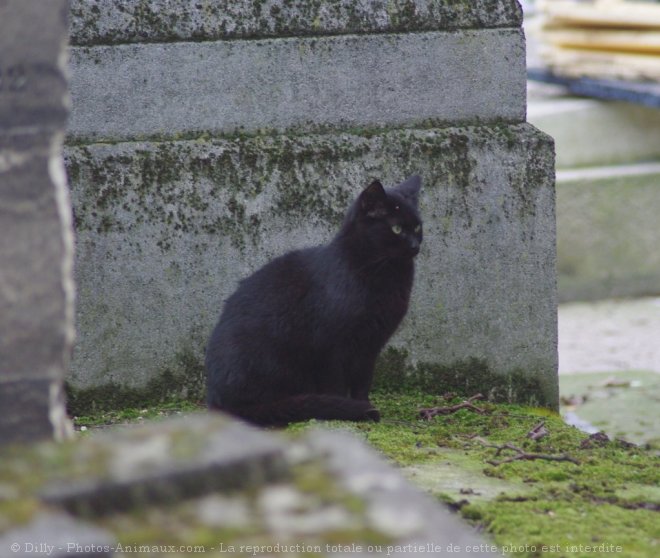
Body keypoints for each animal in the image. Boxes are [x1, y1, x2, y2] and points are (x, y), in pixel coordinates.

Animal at [206, 177, 422, 426]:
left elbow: (362, 382)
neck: (383, 274)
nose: (415, 245)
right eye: (396, 229)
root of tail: (219, 405)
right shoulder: (331, 345)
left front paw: (365, 407)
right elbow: (336, 383)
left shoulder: (370, 345)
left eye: (418, 227)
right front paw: (349, 409)